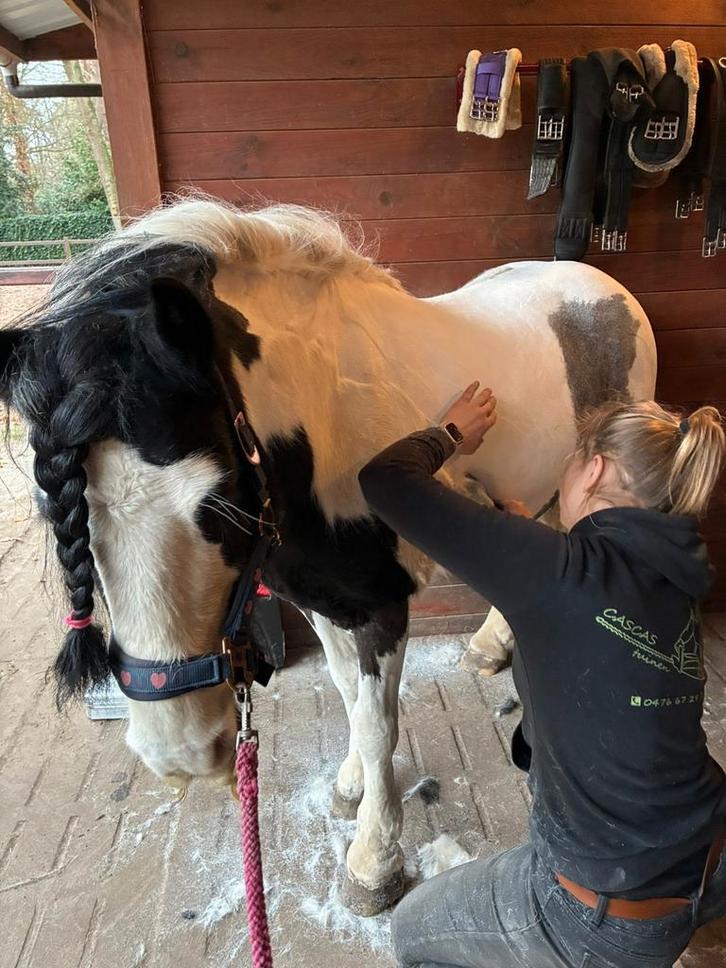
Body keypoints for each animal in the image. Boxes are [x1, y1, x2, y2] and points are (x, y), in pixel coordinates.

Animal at [0, 198, 657, 916]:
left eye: (217, 503)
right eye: (56, 509)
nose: (180, 752)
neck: (323, 421)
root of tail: (607, 289)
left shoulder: (381, 609)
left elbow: (377, 727)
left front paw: (374, 862)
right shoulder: (323, 602)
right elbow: (347, 696)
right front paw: (349, 785)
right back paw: (489, 648)